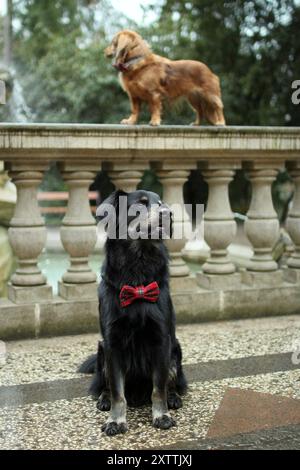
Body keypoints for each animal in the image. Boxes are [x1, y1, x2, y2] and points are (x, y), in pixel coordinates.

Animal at [81, 190, 186, 436]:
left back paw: (173, 397)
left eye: (161, 203)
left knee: (171, 383)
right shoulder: (113, 344)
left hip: (175, 350)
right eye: (141, 204)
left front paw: (162, 415)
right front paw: (115, 421)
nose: (169, 214)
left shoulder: (161, 340)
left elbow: (159, 388)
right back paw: (104, 399)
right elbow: (118, 392)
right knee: (107, 386)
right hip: (102, 352)